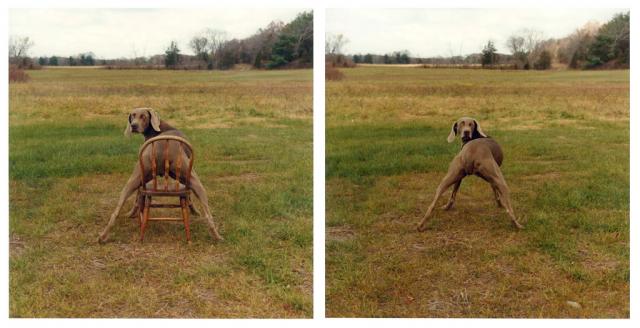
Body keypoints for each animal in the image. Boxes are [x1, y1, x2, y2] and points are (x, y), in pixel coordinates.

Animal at [96, 108, 222, 243]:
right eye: (133, 116)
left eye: (143, 116)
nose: (133, 125)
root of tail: (161, 145)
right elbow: (188, 196)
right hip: (192, 179)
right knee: (208, 215)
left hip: (137, 178)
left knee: (116, 211)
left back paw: (103, 236)